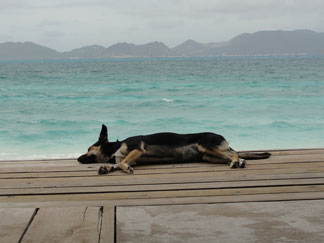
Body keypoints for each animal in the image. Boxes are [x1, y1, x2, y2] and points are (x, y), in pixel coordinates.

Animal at [77, 124, 270, 174]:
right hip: (209, 156)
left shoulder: (137, 149)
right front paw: (106, 167)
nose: (78, 159)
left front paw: (123, 168)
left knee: (233, 153)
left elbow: (123, 162)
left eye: (89, 148)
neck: (115, 148)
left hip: (207, 145)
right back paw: (241, 162)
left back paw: (236, 162)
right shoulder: (134, 157)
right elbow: (118, 163)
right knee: (232, 154)